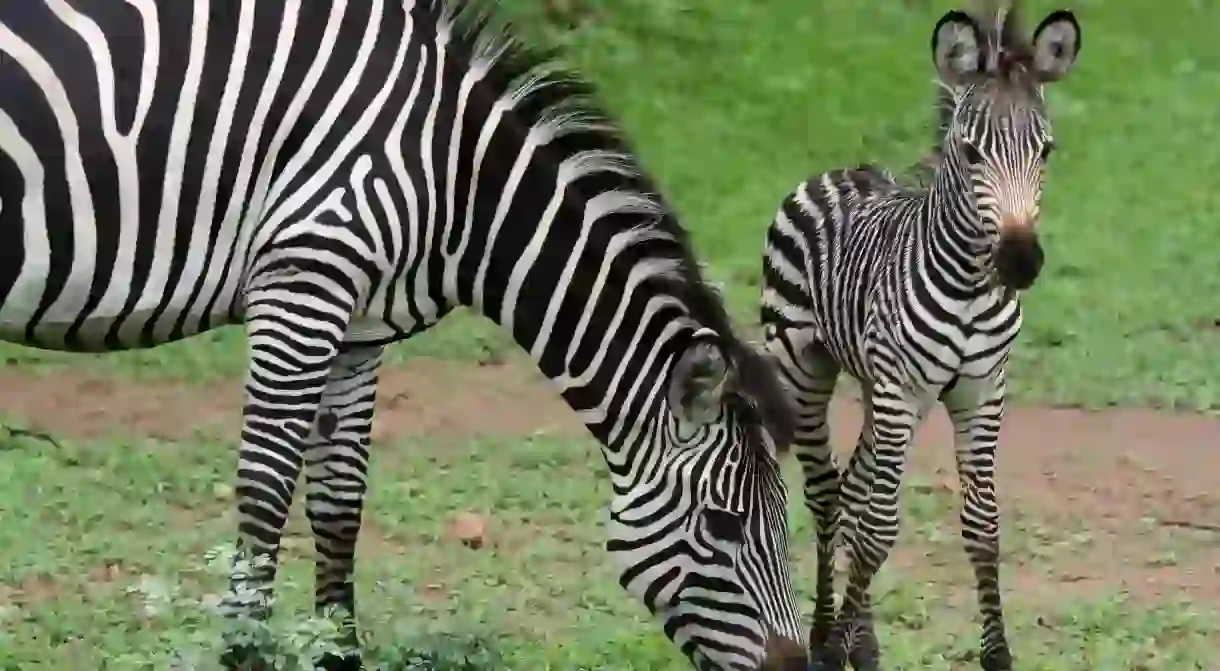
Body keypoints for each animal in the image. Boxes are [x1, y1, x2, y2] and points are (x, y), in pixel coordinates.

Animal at [0, 1, 810, 671]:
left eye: (781, 522)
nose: (796, 667)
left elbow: (339, 502)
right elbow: (265, 491)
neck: (459, 182)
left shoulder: (357, 328)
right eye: (725, 524)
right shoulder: (303, 282)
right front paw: (245, 655)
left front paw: (338, 656)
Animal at [756, 2, 1083, 668]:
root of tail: (843, 170)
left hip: (876, 386)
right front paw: (837, 644)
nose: (1020, 262)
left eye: (1047, 151)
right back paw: (826, 638)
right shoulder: (902, 392)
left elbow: (982, 526)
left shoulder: (981, 392)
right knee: (828, 495)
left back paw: (862, 640)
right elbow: (878, 529)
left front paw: (997, 654)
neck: (970, 285)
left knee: (852, 487)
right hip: (805, 368)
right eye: (971, 152)